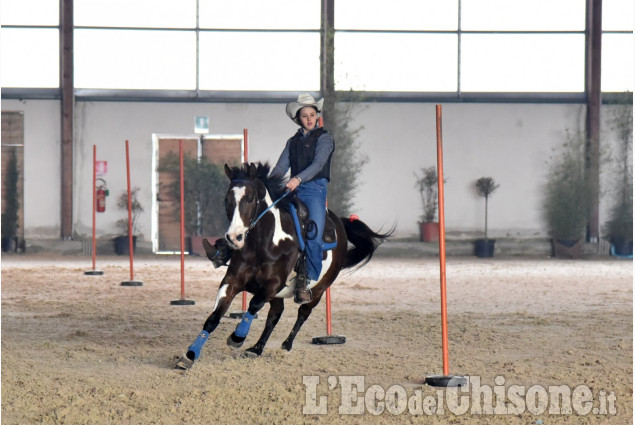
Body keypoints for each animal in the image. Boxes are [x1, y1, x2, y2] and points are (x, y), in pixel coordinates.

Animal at [175, 162, 392, 368]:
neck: (264, 243)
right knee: (275, 314)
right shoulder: (232, 280)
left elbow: (253, 305)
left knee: (302, 313)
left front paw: (237, 338)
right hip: (280, 296)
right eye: (227, 200)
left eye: (250, 198)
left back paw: (286, 345)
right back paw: (256, 348)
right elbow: (215, 317)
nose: (234, 238)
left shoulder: (273, 284)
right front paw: (190, 355)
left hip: (319, 290)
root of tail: (340, 223)